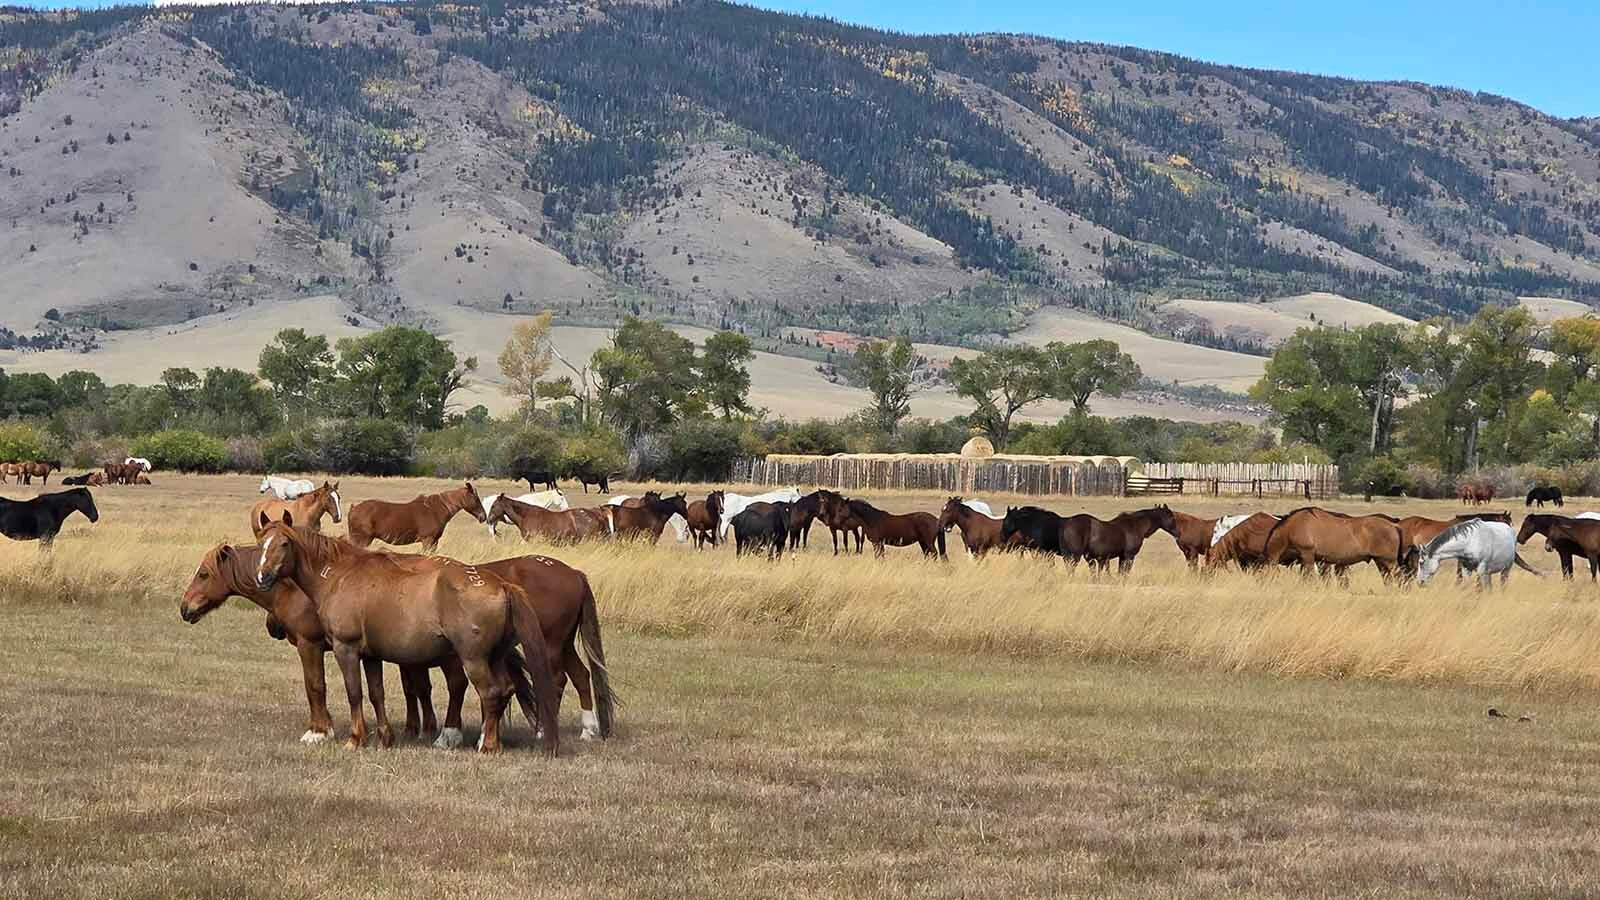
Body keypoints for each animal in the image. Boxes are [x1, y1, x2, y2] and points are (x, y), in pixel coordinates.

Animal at [253, 513, 561, 755]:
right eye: (260, 544)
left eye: (284, 544)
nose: (262, 577)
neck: (340, 575)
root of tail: (502, 585)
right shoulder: (371, 656)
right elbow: (376, 694)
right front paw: (385, 738)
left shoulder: (346, 649)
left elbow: (355, 693)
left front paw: (356, 739)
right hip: (494, 658)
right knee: (505, 690)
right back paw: (490, 742)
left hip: (473, 659)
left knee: (491, 693)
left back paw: (486, 746)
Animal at [346, 482, 485, 551]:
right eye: (476, 499)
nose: (483, 517)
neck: (436, 509)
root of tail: (354, 509)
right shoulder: (428, 540)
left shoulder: (434, 541)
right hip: (363, 539)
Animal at [1262, 507, 1406, 581]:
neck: (1292, 527)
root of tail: (1394, 525)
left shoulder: (1307, 556)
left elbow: (1309, 577)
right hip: (1380, 562)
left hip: (1390, 562)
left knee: (1399, 578)